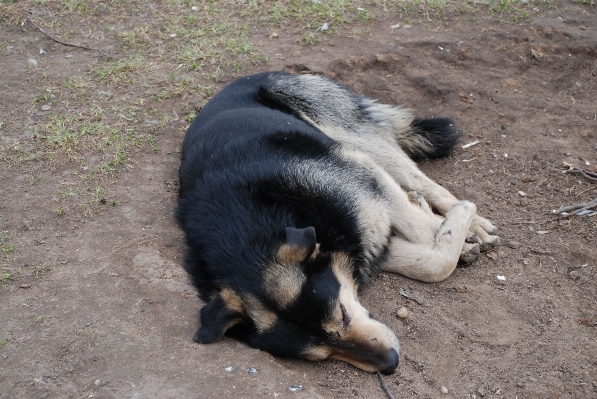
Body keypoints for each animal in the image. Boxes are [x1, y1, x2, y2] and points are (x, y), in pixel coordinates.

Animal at [177, 72, 498, 376]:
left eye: (343, 314)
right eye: (323, 354)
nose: (392, 363)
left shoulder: (364, 181)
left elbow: (430, 248)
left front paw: (461, 220)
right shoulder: (356, 238)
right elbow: (426, 260)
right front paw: (452, 236)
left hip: (351, 136)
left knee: (418, 179)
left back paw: (473, 224)